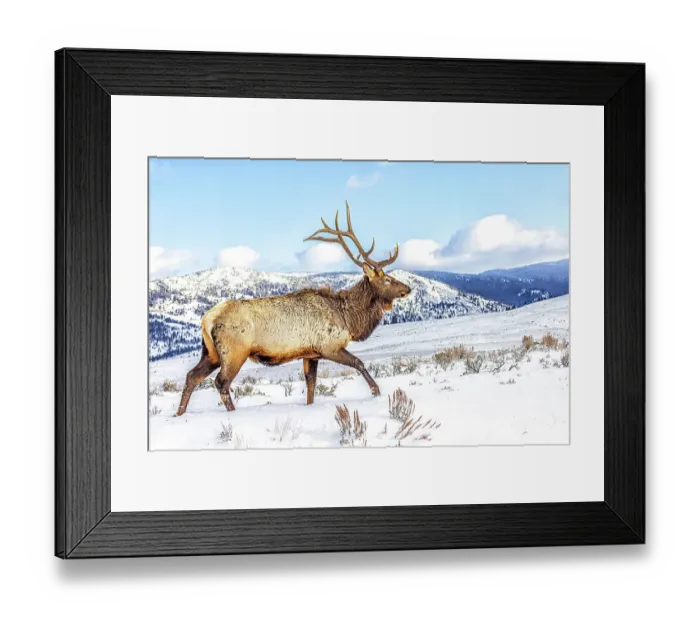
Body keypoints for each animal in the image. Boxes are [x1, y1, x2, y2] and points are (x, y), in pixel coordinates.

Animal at [175, 202, 411, 416]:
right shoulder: (329, 346)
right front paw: (376, 391)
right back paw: (232, 413)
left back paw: (179, 413)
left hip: (210, 353)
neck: (349, 319)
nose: (407, 288)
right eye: (388, 279)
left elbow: (311, 386)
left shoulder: (311, 354)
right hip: (234, 352)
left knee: (191, 376)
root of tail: (207, 319)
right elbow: (359, 363)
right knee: (221, 382)